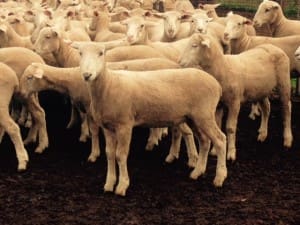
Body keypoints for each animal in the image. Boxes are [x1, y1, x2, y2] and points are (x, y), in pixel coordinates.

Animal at [72, 41, 227, 196]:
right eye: (80, 53)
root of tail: (217, 84)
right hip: (194, 118)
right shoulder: (108, 127)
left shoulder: (125, 125)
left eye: (101, 53)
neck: (109, 84)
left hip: (205, 114)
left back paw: (219, 177)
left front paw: (122, 185)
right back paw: (197, 172)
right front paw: (109, 184)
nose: (87, 75)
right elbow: (109, 154)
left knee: (220, 140)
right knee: (205, 141)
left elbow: (120, 155)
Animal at [179, 32, 292, 161]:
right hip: (261, 89)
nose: (180, 62)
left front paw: (231, 153)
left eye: (194, 45)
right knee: (266, 108)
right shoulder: (219, 104)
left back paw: (287, 139)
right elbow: (219, 125)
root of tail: (274, 47)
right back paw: (263, 134)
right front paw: (215, 151)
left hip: (284, 83)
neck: (223, 68)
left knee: (287, 108)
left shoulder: (235, 102)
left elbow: (230, 128)